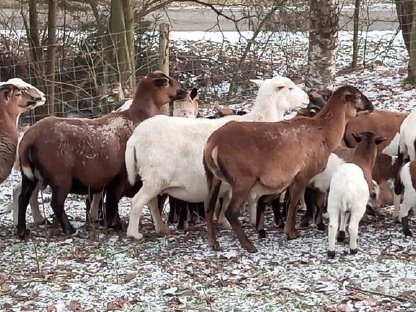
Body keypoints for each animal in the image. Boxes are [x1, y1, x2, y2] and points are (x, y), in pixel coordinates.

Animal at [125, 75, 310, 239]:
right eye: (290, 88)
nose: (307, 98)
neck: (261, 120)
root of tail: (135, 138)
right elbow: (248, 199)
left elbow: (227, 201)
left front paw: (224, 222)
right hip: (155, 178)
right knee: (137, 202)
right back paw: (134, 234)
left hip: (153, 179)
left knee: (151, 204)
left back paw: (161, 228)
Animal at [202, 86, 374, 254]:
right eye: (358, 96)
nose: (372, 106)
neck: (325, 134)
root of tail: (213, 144)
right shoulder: (303, 174)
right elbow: (294, 203)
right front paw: (291, 233)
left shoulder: (292, 178)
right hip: (242, 179)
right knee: (231, 211)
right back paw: (249, 246)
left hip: (212, 176)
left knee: (209, 206)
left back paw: (213, 243)